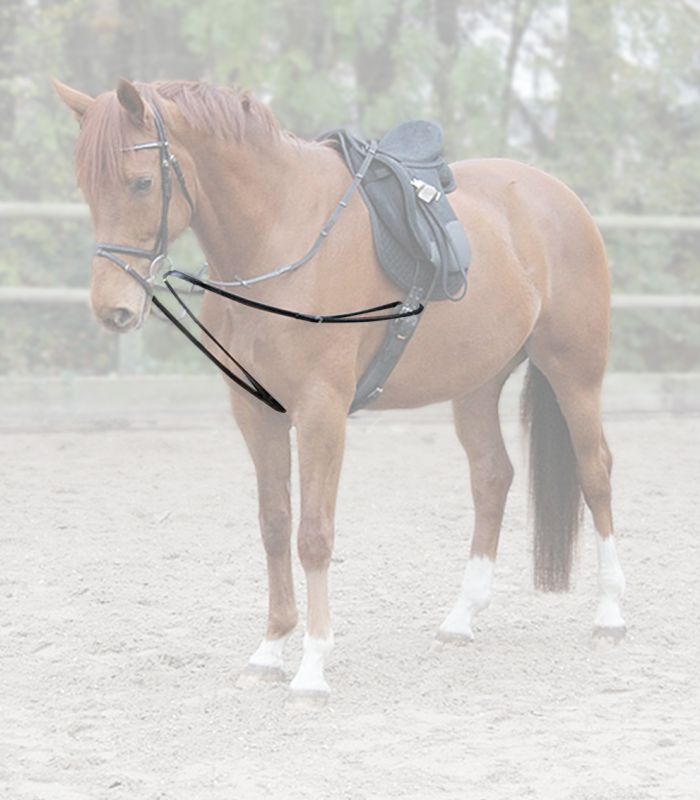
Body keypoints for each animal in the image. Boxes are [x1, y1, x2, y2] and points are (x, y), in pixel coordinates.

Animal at [53, 77, 626, 705]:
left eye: (141, 183)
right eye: (87, 186)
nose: (113, 310)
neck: (280, 239)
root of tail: (559, 197)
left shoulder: (320, 411)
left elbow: (313, 535)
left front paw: (311, 670)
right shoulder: (256, 413)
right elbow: (275, 525)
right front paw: (269, 651)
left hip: (574, 370)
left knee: (595, 471)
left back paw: (609, 616)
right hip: (477, 384)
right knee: (492, 478)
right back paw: (460, 619)